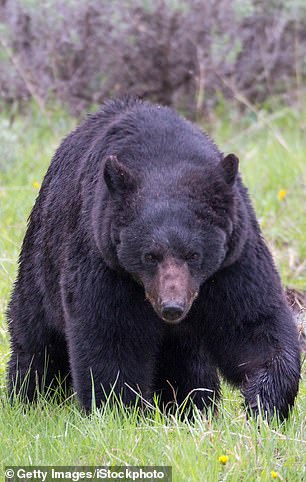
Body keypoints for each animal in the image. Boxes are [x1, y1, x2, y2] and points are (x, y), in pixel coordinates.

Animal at [7, 96, 302, 416]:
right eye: (150, 255)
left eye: (193, 254)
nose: (172, 307)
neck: (164, 161)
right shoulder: (103, 259)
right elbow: (110, 334)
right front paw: (118, 409)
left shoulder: (234, 258)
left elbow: (252, 322)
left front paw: (264, 401)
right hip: (41, 260)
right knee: (36, 341)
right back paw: (29, 397)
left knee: (190, 364)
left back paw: (192, 405)